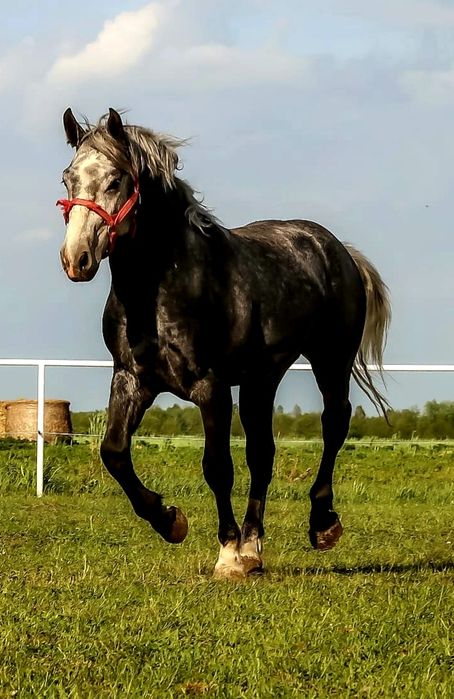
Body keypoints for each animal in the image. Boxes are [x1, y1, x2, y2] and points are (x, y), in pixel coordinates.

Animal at [56, 109, 390, 580]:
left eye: (116, 180)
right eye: (68, 178)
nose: (77, 259)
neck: (161, 290)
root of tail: (338, 250)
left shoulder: (209, 388)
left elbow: (217, 466)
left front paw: (227, 553)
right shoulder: (131, 380)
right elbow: (115, 453)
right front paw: (171, 521)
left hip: (331, 361)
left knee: (334, 424)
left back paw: (320, 525)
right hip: (261, 381)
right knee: (262, 454)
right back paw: (254, 549)